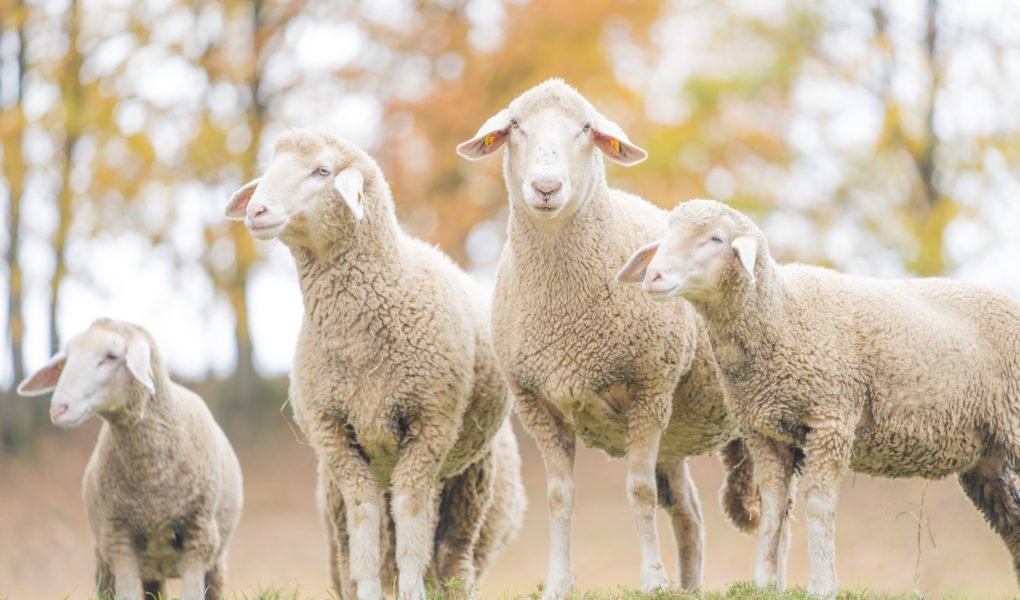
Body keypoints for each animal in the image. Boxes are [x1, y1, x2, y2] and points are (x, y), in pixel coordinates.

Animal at [15, 318, 242, 600]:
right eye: (66, 360)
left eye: (112, 356)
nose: (59, 409)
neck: (153, 480)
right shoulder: (118, 539)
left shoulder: (198, 539)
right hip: (109, 561)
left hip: (216, 560)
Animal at [225, 129, 526, 595]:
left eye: (322, 170)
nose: (256, 211)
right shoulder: (337, 440)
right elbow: (364, 532)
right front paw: (368, 590)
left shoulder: (428, 431)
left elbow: (411, 528)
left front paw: (412, 591)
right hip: (339, 486)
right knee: (351, 548)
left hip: (471, 474)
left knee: (451, 553)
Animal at [616, 196, 1020, 595]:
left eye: (715, 238)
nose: (653, 277)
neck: (782, 314)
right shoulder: (764, 431)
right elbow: (773, 507)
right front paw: (764, 582)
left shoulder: (831, 420)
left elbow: (818, 505)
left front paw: (822, 585)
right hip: (988, 456)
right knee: (1012, 524)